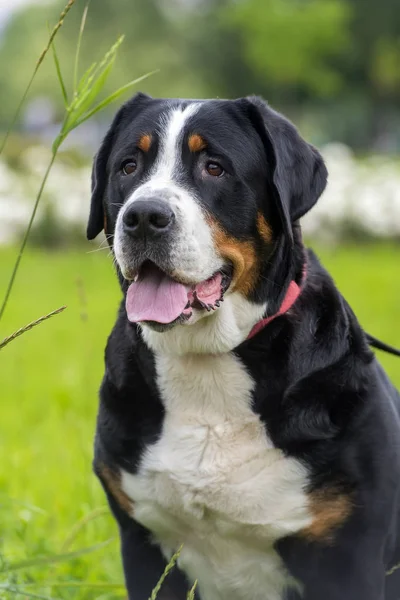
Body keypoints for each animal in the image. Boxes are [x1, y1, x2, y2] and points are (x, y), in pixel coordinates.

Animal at [86, 94, 400, 600]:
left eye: (214, 167)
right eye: (128, 166)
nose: (144, 216)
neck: (206, 363)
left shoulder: (348, 557)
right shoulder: (144, 543)